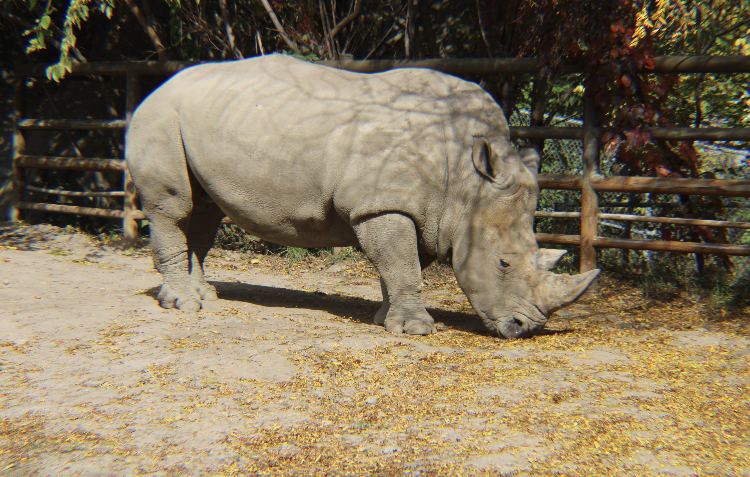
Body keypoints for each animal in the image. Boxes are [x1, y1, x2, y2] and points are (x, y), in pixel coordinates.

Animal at [126, 54, 598, 339]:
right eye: (502, 263)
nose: (524, 328)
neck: (467, 183)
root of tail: (155, 87)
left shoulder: (414, 209)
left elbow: (399, 266)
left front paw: (386, 321)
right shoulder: (383, 204)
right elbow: (404, 267)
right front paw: (417, 331)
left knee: (204, 213)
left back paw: (205, 296)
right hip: (161, 117)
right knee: (173, 207)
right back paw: (185, 306)